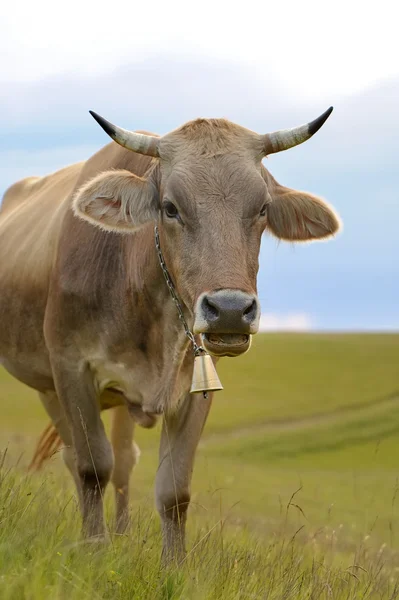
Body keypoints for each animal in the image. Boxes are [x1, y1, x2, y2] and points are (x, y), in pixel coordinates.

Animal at [0, 108, 342, 564]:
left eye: (263, 208)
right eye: (170, 207)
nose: (229, 310)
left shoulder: (198, 387)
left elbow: (174, 489)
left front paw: (174, 566)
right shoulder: (72, 370)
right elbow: (92, 467)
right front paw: (94, 550)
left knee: (124, 460)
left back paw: (123, 534)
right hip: (49, 385)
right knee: (81, 458)